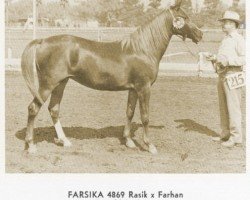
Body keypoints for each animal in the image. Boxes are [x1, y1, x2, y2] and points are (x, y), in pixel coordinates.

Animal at [21, 1, 201, 154]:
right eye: (184, 17)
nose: (200, 34)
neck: (143, 49)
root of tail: (42, 41)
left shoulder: (133, 89)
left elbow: (129, 112)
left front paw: (128, 141)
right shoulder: (144, 88)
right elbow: (145, 117)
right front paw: (150, 146)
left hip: (61, 83)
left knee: (54, 109)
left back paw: (64, 141)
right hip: (47, 85)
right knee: (33, 108)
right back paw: (31, 145)